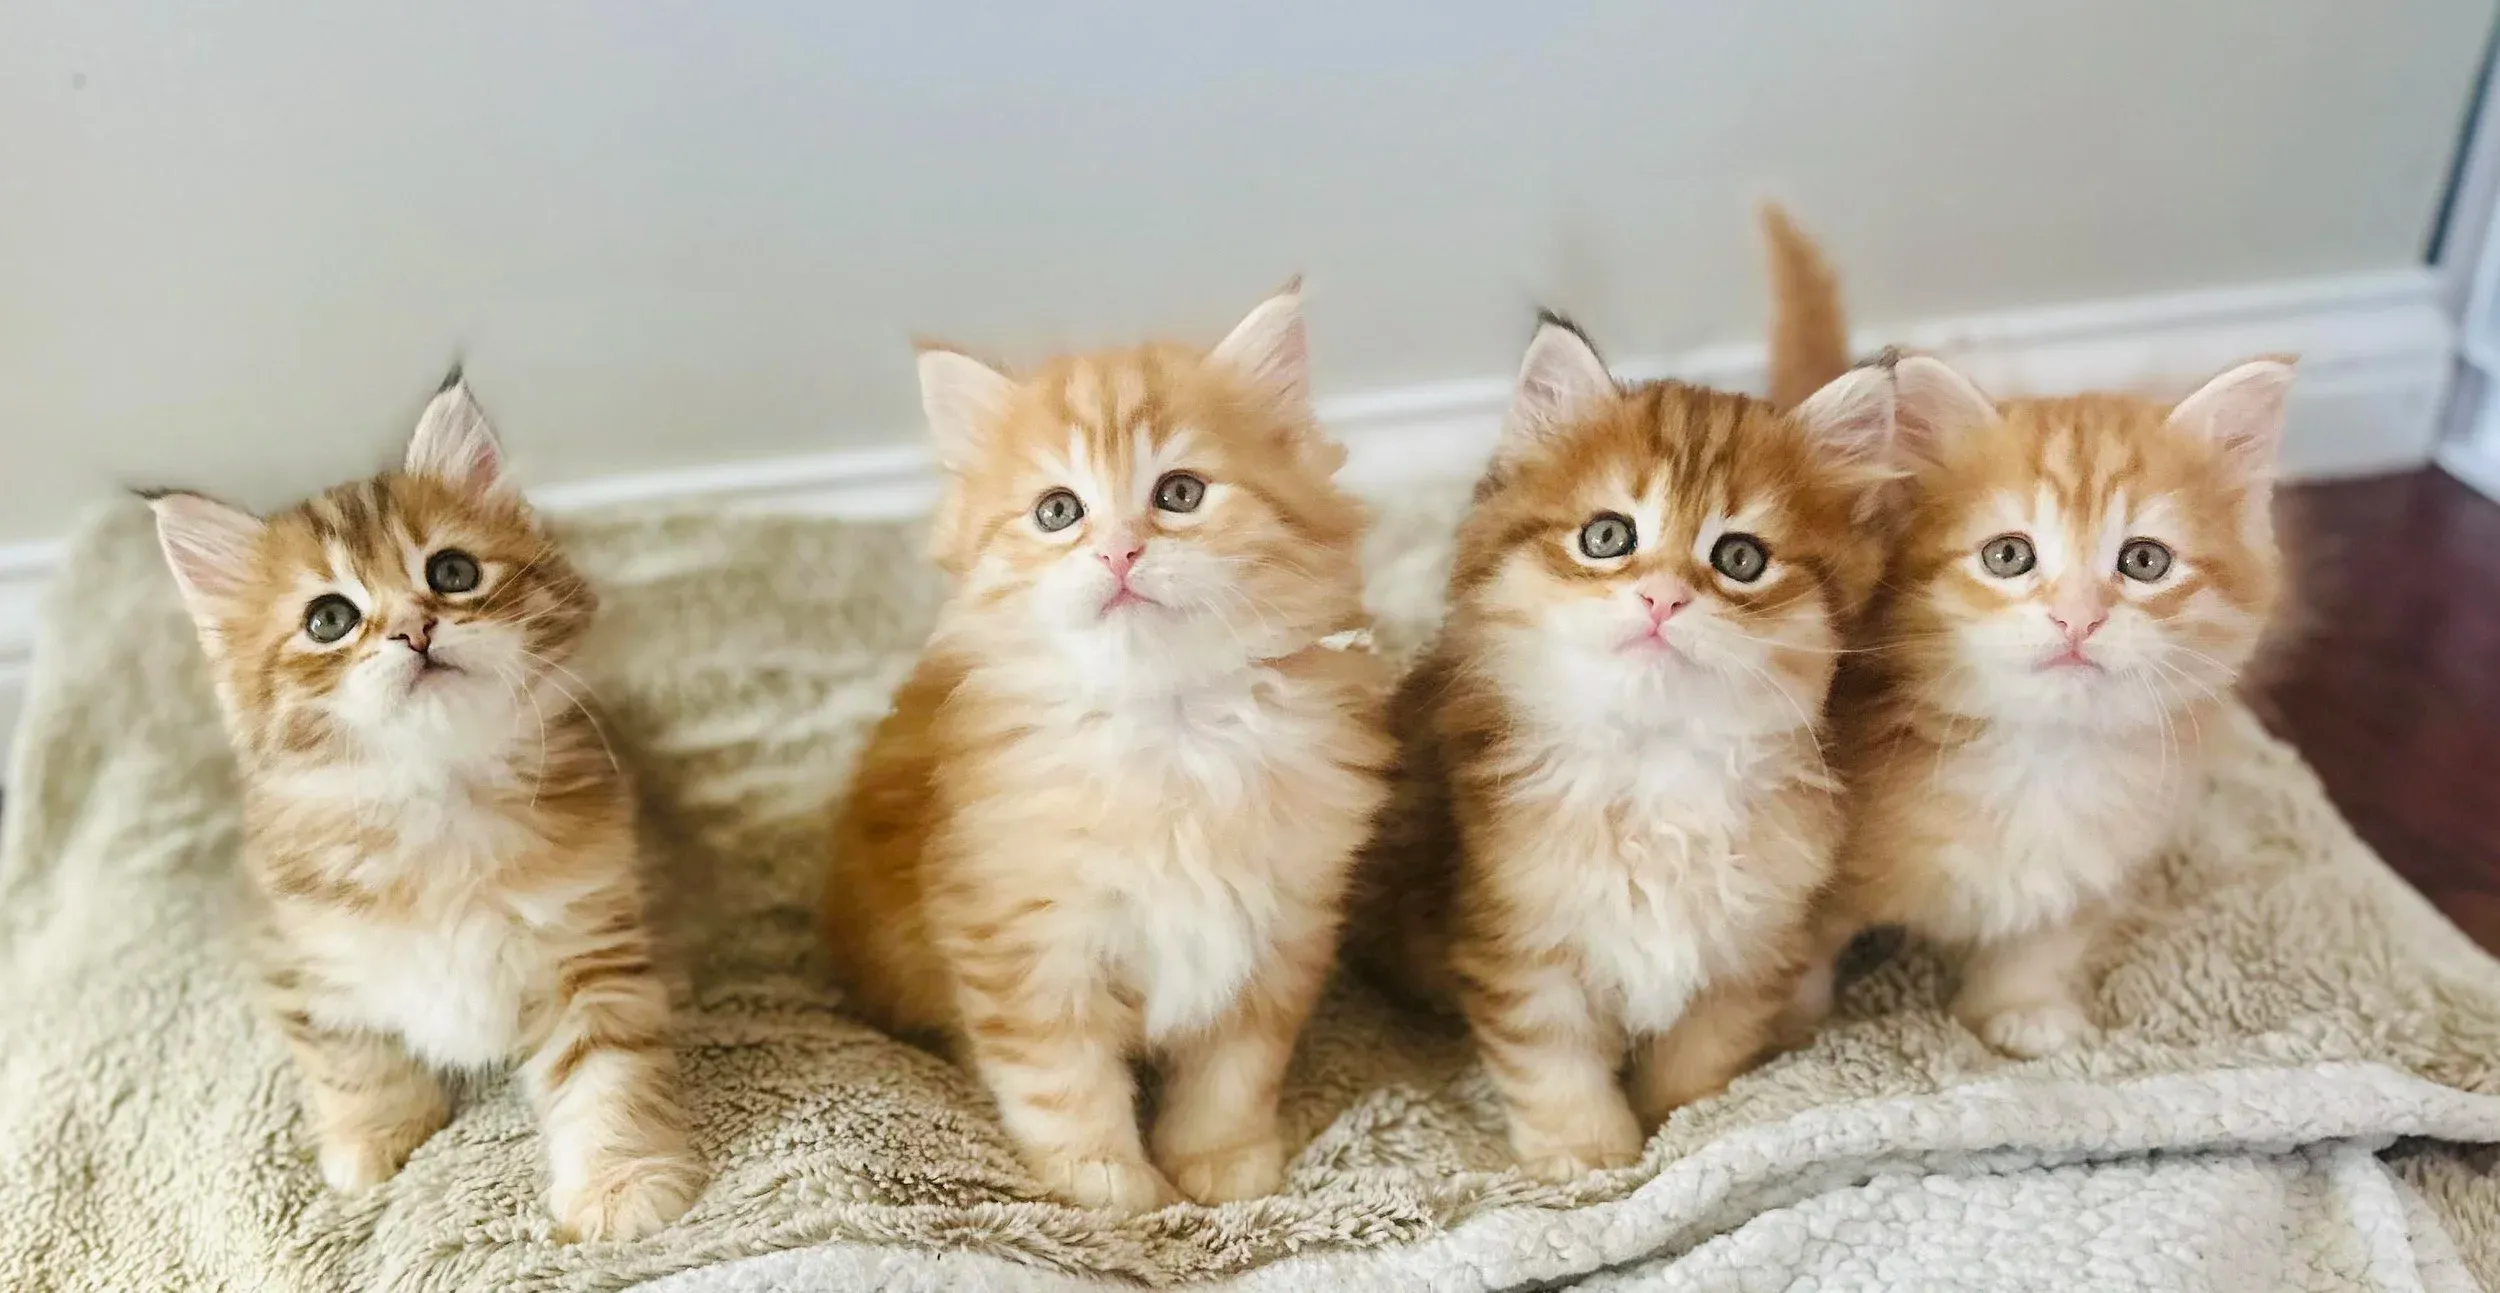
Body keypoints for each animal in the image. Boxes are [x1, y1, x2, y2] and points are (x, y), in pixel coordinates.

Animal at [146, 376, 704, 1242]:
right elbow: (353, 1056)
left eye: (452, 570)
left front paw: (621, 1181)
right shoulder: (300, 955)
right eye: (329, 619)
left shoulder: (592, 945)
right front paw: (374, 1143)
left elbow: (608, 1076)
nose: (415, 628)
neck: (435, 800)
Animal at [818, 286, 1395, 1215]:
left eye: (1180, 492)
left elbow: (1234, 1074)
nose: (1119, 549)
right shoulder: (1020, 941)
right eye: (1058, 510)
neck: (1169, 729)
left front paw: (1221, 1164)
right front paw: (1108, 1184)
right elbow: (1061, 1081)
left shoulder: (1280, 929)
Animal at [1347, 211, 1902, 1181]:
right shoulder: (1518, 938)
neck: (1658, 767)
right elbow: (1552, 1062)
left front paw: (1684, 1128)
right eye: (1608, 536)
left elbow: (1701, 1056)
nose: (1663, 597)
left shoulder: (1751, 944)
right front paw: (1588, 1160)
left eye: (1740, 558)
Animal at [1779, 231, 2294, 1058]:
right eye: (2008, 555)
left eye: (2144, 561)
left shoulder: (2096, 862)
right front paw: (1790, 1036)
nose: (2076, 618)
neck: (2041, 757)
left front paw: (2021, 1010)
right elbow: (1795, 956)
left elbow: (2042, 939)